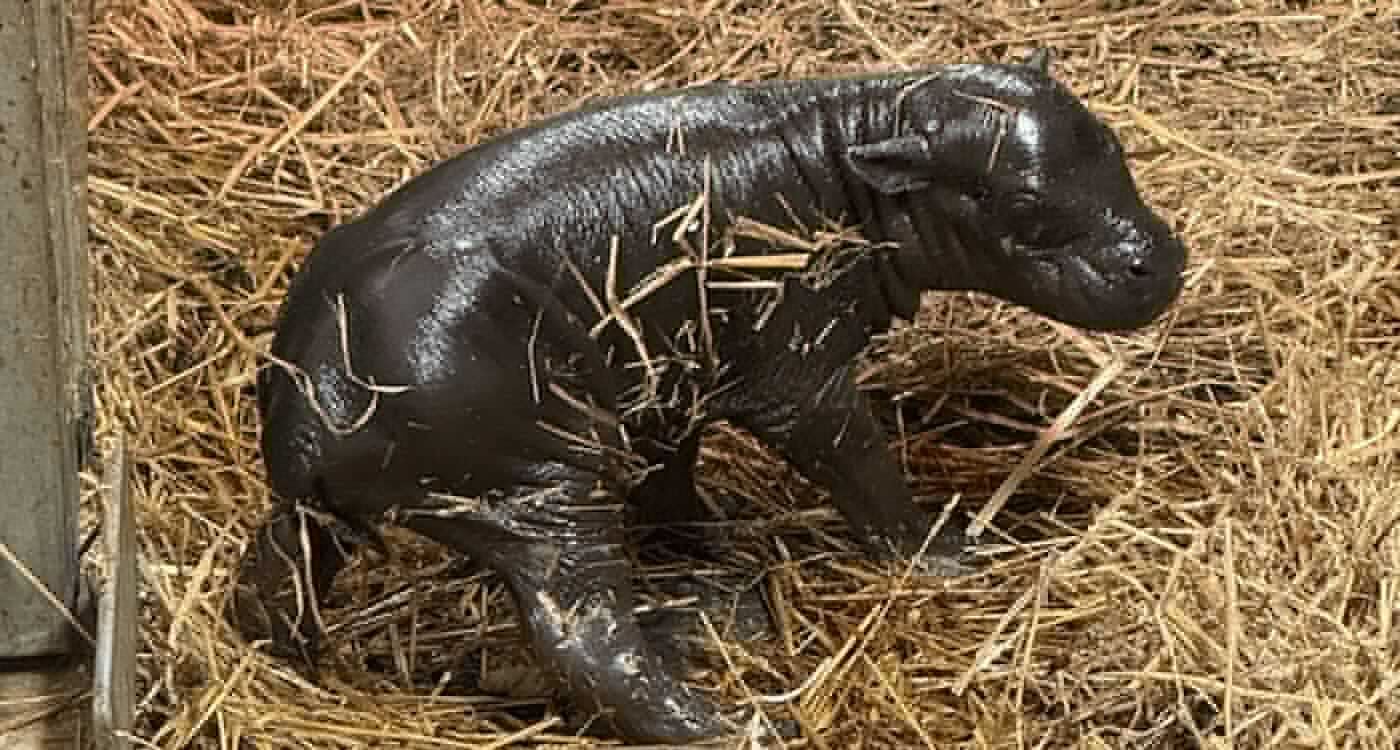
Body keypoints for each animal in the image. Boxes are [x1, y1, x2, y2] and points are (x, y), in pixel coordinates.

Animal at [229, 49, 1185, 743]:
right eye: (1016, 197)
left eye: (1112, 140)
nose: (1161, 259)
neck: (852, 153)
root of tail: (311, 405)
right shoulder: (796, 374)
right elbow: (861, 466)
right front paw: (950, 554)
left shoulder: (669, 380)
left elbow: (672, 482)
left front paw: (720, 547)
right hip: (543, 493)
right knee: (588, 642)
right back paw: (742, 723)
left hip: (353, 508)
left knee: (275, 572)